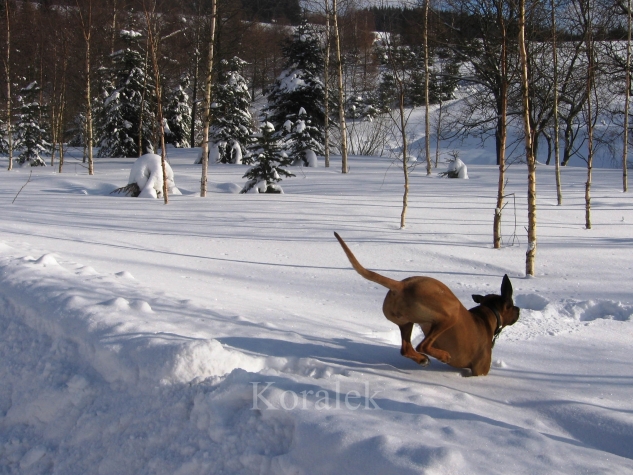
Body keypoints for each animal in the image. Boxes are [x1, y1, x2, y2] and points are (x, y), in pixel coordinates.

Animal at [334, 233, 520, 376]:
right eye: (513, 305)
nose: (518, 311)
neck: (488, 313)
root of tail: (401, 285)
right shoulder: (480, 369)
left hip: (405, 321)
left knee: (406, 348)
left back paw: (422, 359)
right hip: (450, 313)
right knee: (422, 345)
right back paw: (442, 356)